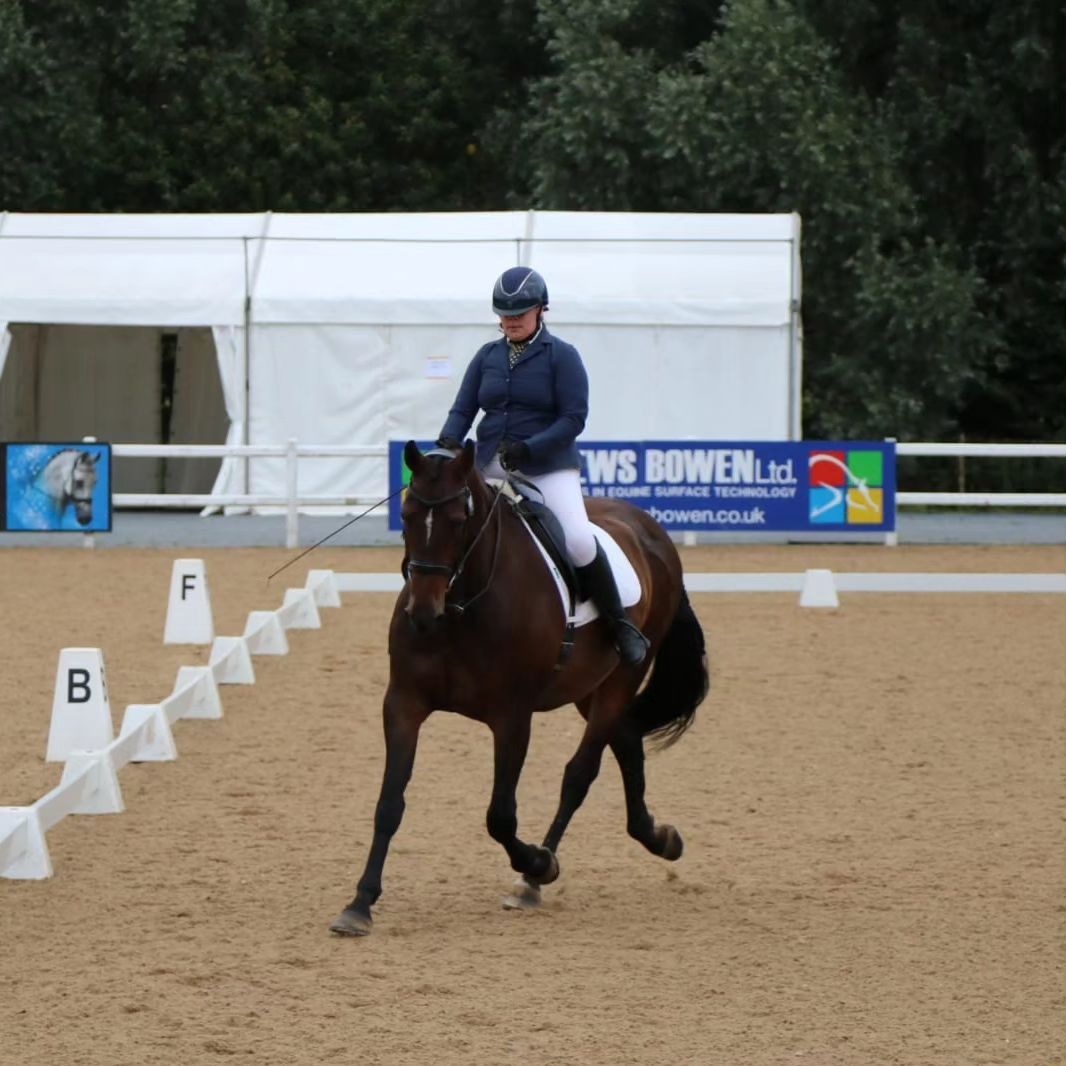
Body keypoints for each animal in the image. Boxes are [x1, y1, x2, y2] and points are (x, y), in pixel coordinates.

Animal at [324, 439, 707, 933]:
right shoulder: (403, 704)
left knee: (579, 775)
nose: (423, 614)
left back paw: (533, 881)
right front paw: (360, 903)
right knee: (625, 741)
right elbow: (389, 803)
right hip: (591, 687)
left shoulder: (512, 717)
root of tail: (650, 529)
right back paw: (659, 838)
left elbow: (500, 817)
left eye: (458, 520)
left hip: (622, 676)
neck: (462, 608)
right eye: (406, 515)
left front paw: (540, 864)